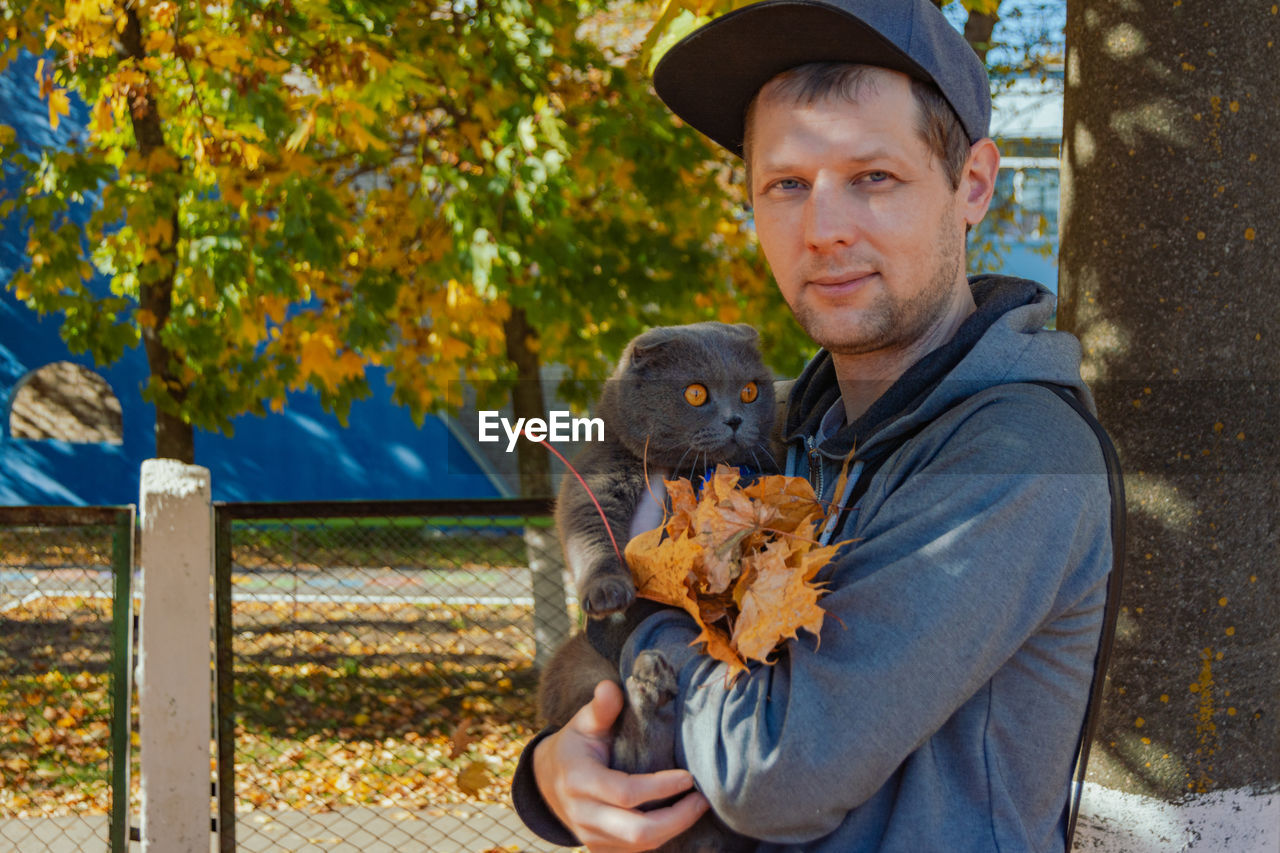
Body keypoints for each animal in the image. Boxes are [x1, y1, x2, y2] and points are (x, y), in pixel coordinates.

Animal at [535, 320, 773, 850]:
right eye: (695, 393)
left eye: (749, 390)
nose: (735, 419)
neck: (673, 471)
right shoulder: (596, 478)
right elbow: (590, 532)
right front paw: (607, 591)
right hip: (577, 668)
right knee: (635, 773)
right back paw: (649, 685)